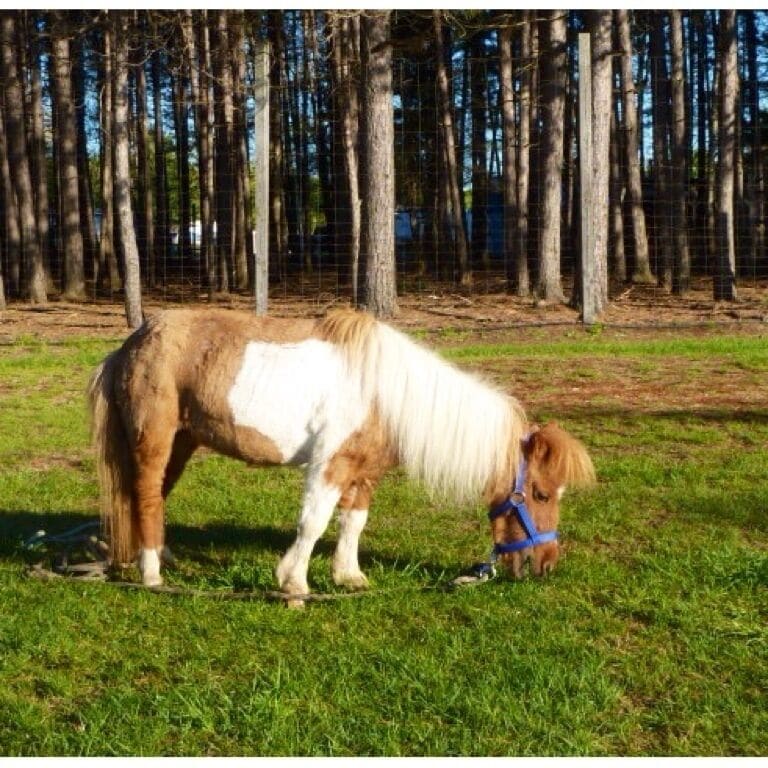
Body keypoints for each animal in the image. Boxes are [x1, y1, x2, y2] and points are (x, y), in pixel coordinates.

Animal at [87, 307, 595, 599]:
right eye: (541, 494)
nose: (546, 564)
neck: (388, 392)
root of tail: (133, 342)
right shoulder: (329, 465)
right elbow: (313, 523)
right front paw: (294, 582)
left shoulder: (362, 472)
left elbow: (353, 523)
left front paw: (348, 577)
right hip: (153, 440)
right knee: (147, 497)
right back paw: (152, 574)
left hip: (183, 441)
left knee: (150, 498)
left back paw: (162, 557)